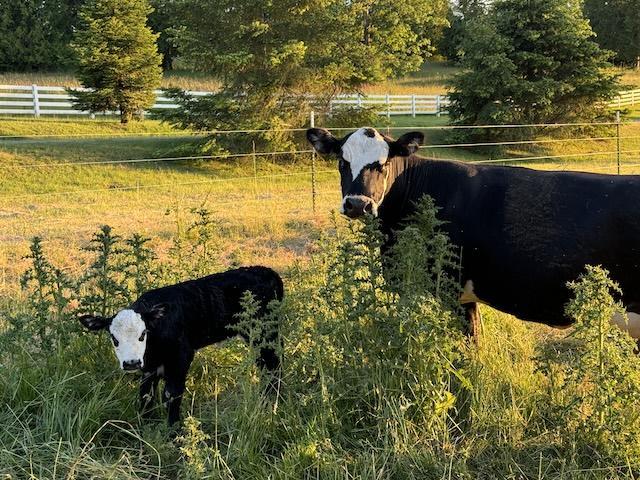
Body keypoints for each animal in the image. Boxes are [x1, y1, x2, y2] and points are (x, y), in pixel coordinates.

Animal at [78, 266, 284, 426]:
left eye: (142, 334)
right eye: (114, 338)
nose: (131, 363)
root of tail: (268, 271)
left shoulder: (181, 357)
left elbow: (171, 394)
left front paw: (172, 430)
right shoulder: (149, 367)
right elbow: (146, 394)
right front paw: (145, 425)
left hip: (265, 333)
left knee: (272, 365)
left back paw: (271, 403)